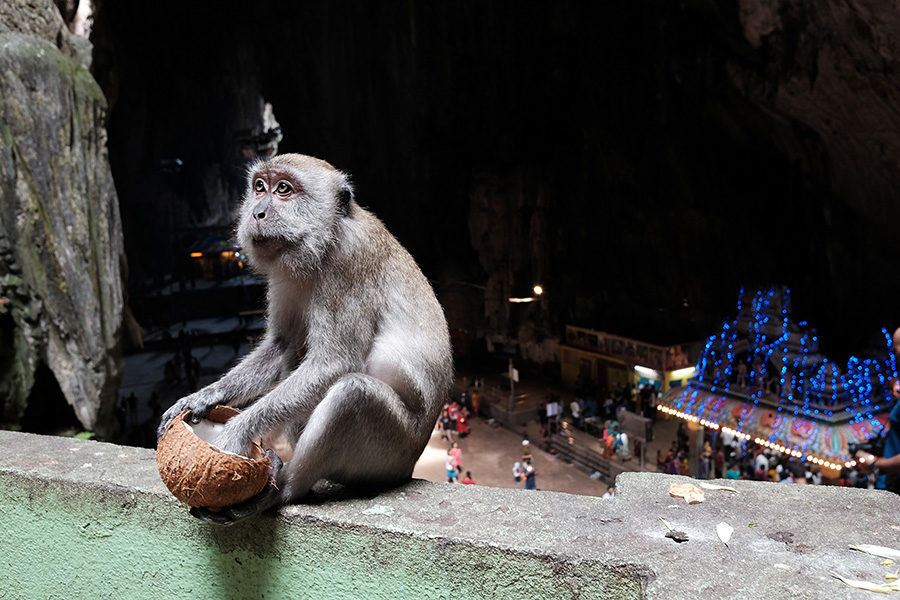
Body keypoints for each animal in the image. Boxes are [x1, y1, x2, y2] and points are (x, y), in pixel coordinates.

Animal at [159, 155, 454, 524]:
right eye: (260, 187)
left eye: (284, 189)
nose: (257, 213)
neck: (324, 240)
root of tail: (410, 467)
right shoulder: (284, 274)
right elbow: (281, 346)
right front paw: (202, 397)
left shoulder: (348, 261)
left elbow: (334, 363)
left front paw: (236, 432)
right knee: (294, 360)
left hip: (391, 454)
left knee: (352, 394)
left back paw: (284, 489)